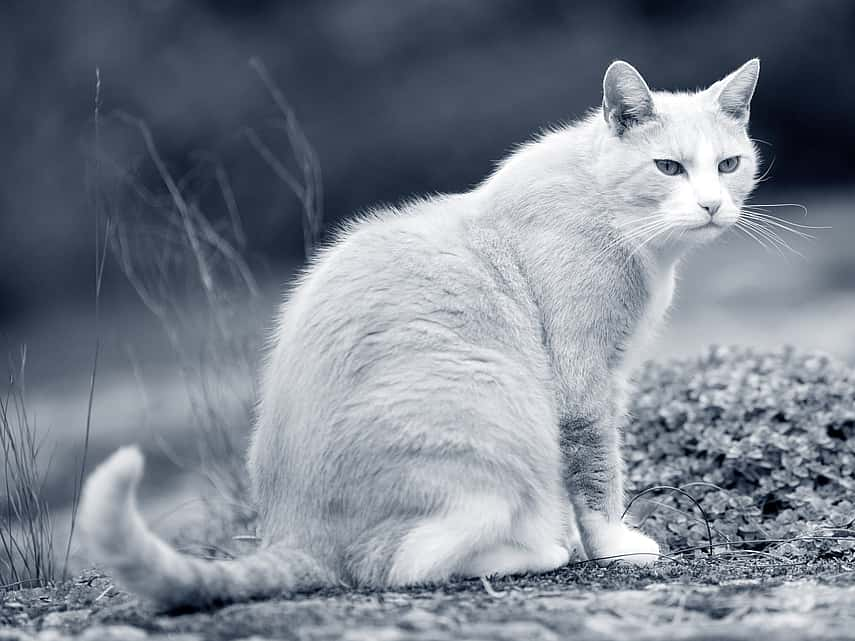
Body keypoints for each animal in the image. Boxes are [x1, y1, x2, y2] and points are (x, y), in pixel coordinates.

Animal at [82, 57, 764, 608]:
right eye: (669, 167)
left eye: (728, 165)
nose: (711, 204)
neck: (604, 205)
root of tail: (295, 532)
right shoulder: (583, 381)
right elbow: (598, 470)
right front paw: (613, 544)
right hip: (493, 412)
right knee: (400, 564)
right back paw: (533, 551)